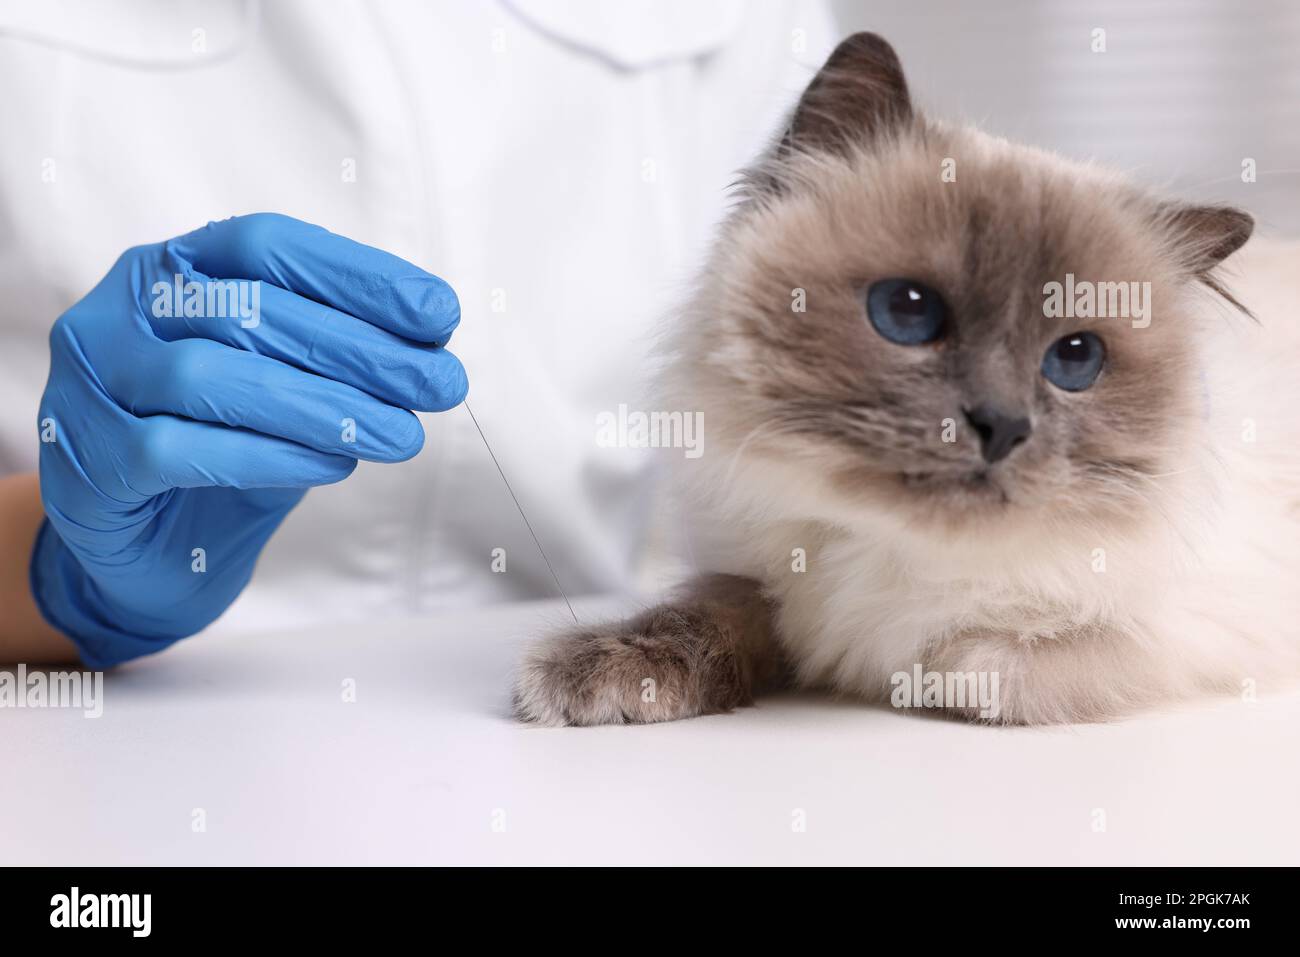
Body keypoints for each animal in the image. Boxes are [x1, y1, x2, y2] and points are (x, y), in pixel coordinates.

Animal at [509, 33, 1300, 728]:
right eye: (908, 311)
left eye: (1075, 359)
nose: (1001, 425)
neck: (888, 544)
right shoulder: (761, 575)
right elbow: (707, 614)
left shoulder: (1178, 634)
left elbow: (979, 662)